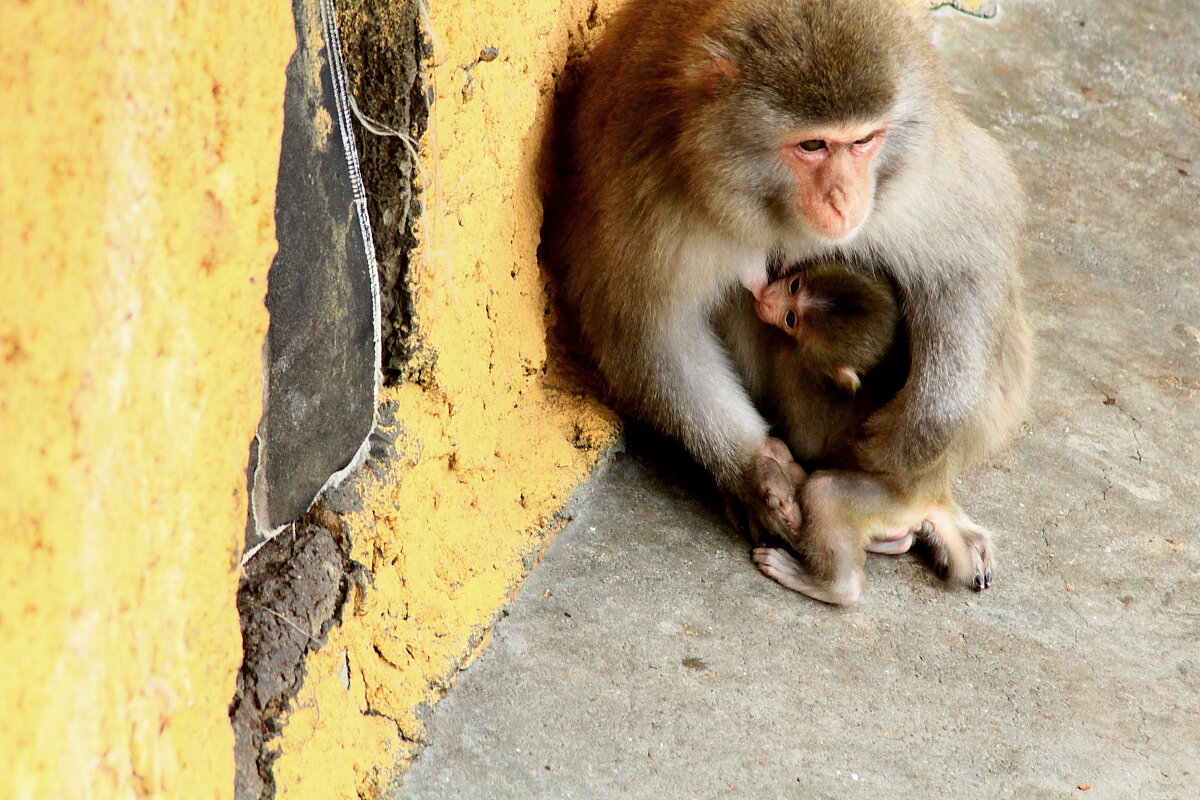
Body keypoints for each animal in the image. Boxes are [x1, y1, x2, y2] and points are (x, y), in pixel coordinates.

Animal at [744, 263, 988, 606]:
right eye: (794, 285)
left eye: (791, 319)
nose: (766, 299)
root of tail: (933, 497)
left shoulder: (799, 371)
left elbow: (806, 441)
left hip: (891, 503)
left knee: (824, 490)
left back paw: (831, 584)